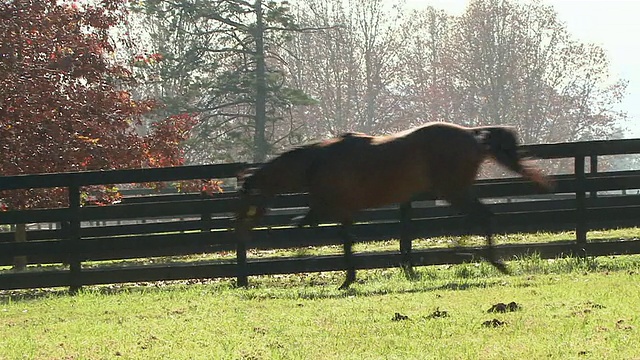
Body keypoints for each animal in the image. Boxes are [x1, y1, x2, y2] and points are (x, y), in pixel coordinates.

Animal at [235, 123, 552, 290]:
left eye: (246, 201)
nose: (240, 232)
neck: (317, 163)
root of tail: (472, 135)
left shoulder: (329, 209)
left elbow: (304, 227)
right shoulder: (343, 213)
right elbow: (345, 242)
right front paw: (348, 279)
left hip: (454, 190)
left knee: (483, 217)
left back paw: (490, 260)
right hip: (456, 191)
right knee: (478, 217)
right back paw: (470, 252)